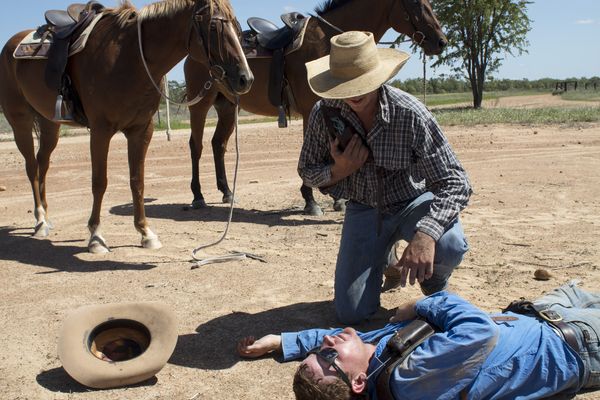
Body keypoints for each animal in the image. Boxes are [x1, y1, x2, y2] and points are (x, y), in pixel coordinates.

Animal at [0, 0, 253, 253]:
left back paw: (46, 216)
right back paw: (40, 221)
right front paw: (96, 236)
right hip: (20, 121)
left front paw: (145, 232)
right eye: (213, 26)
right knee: (31, 166)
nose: (246, 78)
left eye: (237, 27)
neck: (129, 58)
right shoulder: (100, 130)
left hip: (49, 123)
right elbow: (99, 182)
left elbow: (137, 181)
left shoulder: (141, 130)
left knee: (43, 163)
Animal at [183, 0, 447, 215]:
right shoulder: (311, 108)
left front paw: (338, 199)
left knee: (219, 144)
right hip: (201, 105)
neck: (328, 42)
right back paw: (198, 196)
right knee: (196, 146)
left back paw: (227, 192)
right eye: (415, 2)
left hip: (228, 106)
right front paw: (311, 201)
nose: (441, 41)